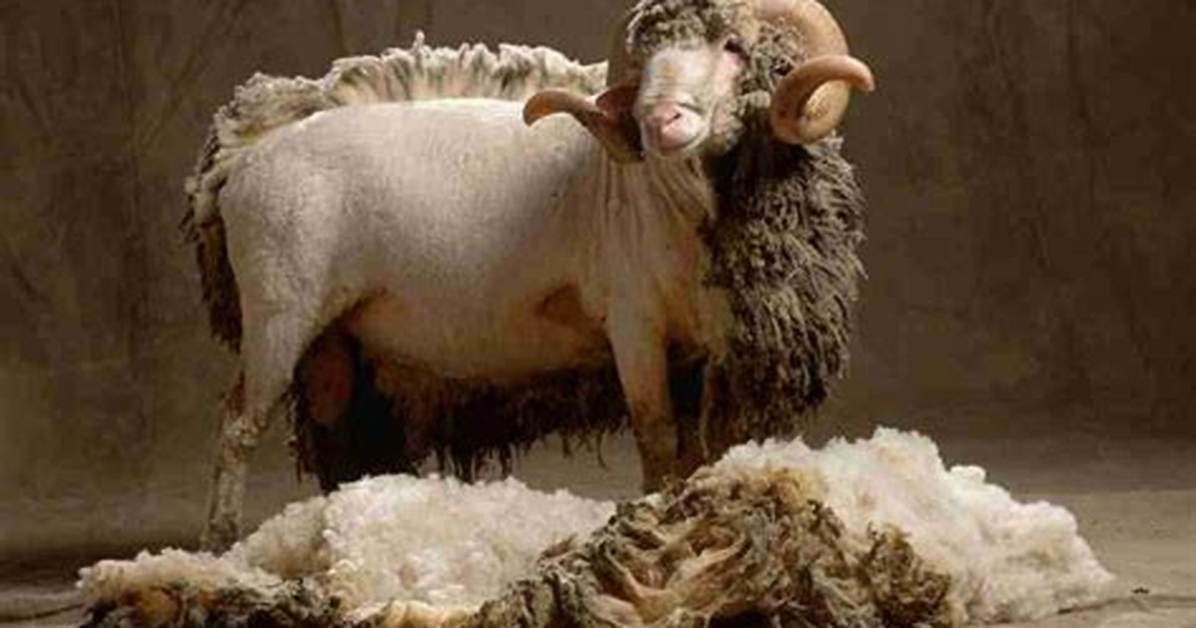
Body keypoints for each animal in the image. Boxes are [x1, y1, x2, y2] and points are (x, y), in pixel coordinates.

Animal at [184, 0, 876, 550]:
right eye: (646, 58)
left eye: (733, 47)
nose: (659, 121)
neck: (676, 206)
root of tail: (239, 162)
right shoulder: (634, 325)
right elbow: (656, 436)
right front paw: (655, 522)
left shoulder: (705, 348)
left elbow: (700, 444)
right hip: (279, 312)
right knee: (238, 426)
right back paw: (221, 542)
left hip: (334, 337)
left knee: (334, 428)